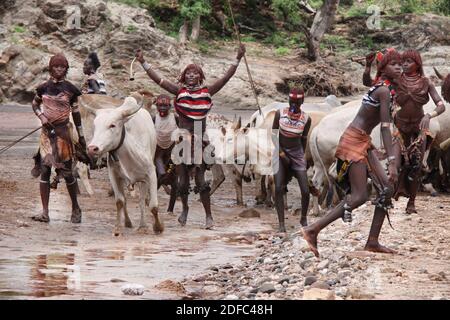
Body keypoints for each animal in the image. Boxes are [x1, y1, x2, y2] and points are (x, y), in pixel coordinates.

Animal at [84, 96, 162, 236]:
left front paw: (158, 227)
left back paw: (142, 225)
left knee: (142, 200)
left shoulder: (150, 174)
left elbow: (152, 205)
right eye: (95, 125)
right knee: (125, 199)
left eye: (112, 125)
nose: (92, 148)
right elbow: (120, 201)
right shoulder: (114, 176)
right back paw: (128, 222)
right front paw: (117, 228)